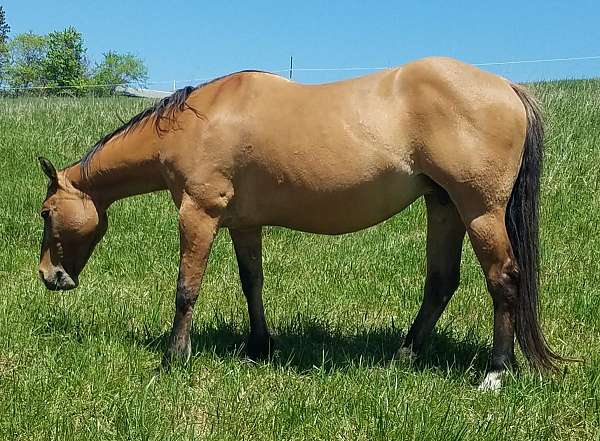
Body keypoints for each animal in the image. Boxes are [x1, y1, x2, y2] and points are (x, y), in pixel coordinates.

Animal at [36, 55, 564, 388]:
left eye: (45, 212)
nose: (48, 276)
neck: (197, 122)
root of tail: (507, 87)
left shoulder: (199, 214)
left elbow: (187, 288)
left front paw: (172, 358)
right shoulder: (243, 224)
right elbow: (252, 281)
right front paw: (258, 346)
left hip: (479, 211)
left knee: (503, 281)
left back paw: (495, 373)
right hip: (445, 206)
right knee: (441, 282)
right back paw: (404, 356)